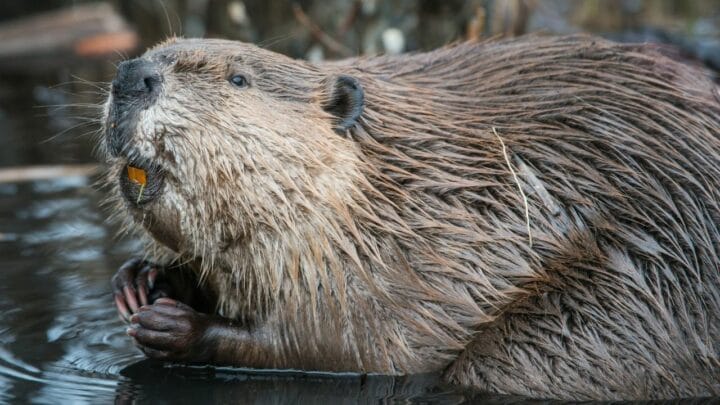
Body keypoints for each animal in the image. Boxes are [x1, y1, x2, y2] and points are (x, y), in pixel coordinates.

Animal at [104, 35, 720, 400]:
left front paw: (173, 325)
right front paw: (142, 280)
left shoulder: (394, 269)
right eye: (155, 52)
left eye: (238, 79)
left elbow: (336, 347)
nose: (131, 76)